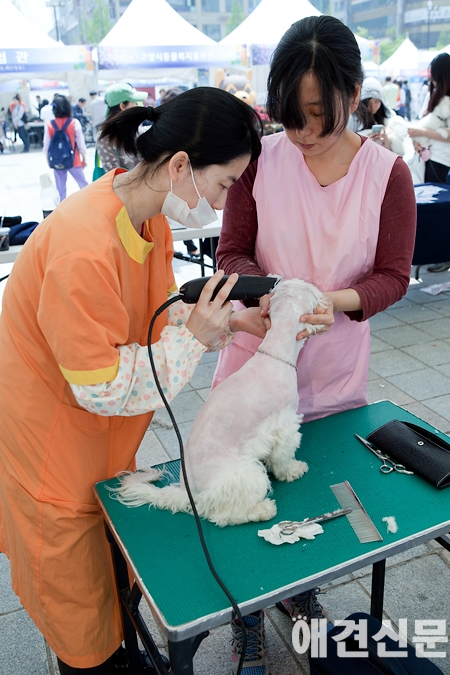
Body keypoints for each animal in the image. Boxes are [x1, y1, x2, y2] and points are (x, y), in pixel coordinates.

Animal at [112, 280, 326, 528]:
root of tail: (191, 495)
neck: (274, 354)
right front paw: (293, 470)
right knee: (224, 517)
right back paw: (262, 510)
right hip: (248, 474)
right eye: (311, 291)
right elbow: (284, 456)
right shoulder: (285, 426)